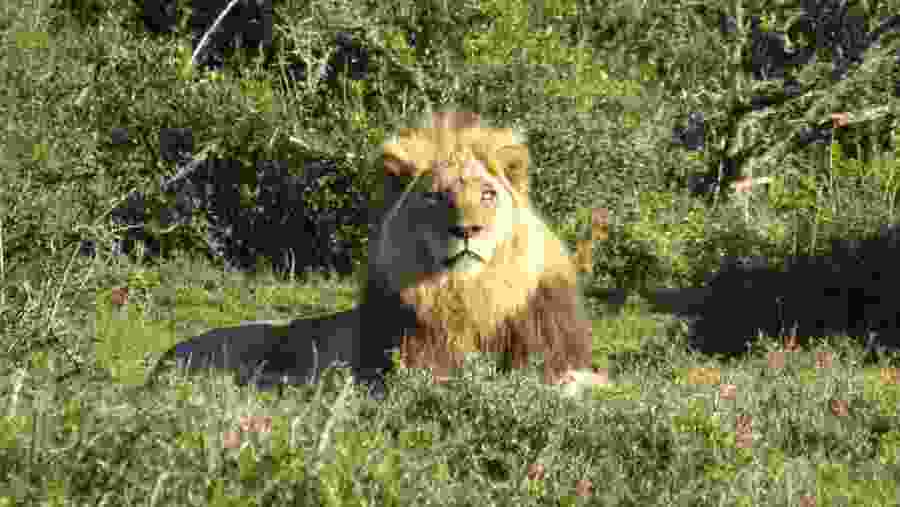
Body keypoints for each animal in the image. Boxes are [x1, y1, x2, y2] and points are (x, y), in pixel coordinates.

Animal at [149, 109, 598, 398]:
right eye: (435, 196)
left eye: (487, 194)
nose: (467, 229)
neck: (469, 296)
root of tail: (159, 362)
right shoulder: (391, 368)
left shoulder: (558, 356)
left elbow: (570, 383)